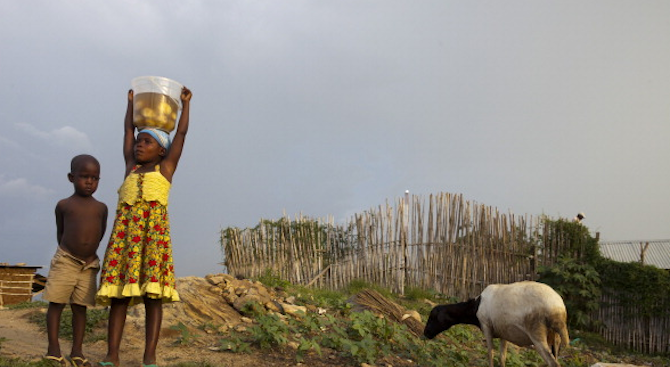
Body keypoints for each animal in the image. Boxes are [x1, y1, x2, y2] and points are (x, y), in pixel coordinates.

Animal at [426, 282, 572, 367]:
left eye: (432, 317)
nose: (425, 333)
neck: (476, 306)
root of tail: (558, 308)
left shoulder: (486, 327)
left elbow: (490, 354)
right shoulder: (504, 334)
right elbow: (502, 358)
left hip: (537, 334)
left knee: (553, 363)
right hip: (555, 338)